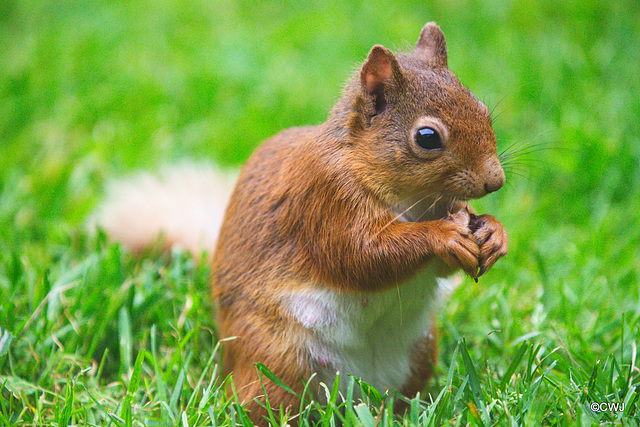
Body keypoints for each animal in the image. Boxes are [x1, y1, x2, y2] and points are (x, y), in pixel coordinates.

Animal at [92, 22, 508, 424]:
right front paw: (442, 235)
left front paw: (495, 233)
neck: (412, 200)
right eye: (427, 137)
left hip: (418, 353)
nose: (495, 180)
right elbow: (364, 256)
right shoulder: (325, 200)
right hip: (277, 363)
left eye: (483, 110)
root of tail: (355, 395)